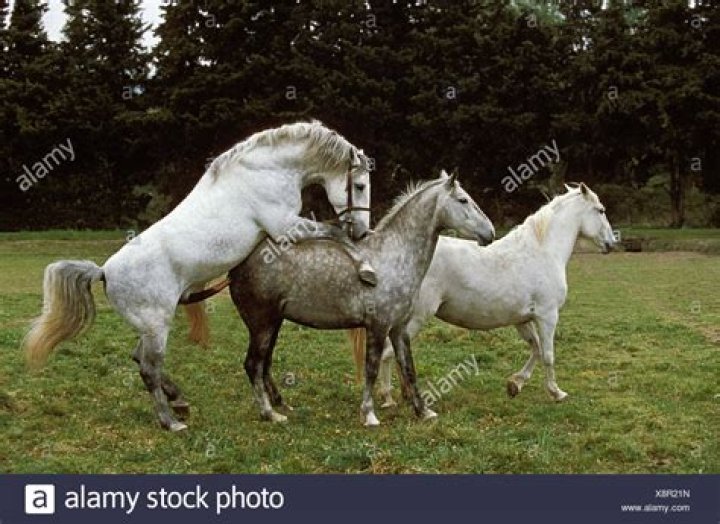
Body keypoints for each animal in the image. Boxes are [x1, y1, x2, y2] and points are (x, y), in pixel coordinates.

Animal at [22, 120, 374, 431]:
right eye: (359, 186)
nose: (362, 230)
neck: (266, 171)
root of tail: (105, 272)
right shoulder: (286, 226)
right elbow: (334, 233)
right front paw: (366, 268)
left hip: (150, 325)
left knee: (139, 358)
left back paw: (179, 401)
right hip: (157, 324)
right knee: (149, 369)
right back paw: (171, 421)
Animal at [224, 171, 495, 426]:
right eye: (463, 200)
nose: (489, 233)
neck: (393, 256)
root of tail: (238, 265)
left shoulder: (399, 328)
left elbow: (408, 367)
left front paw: (423, 411)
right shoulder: (378, 326)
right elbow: (371, 369)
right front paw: (369, 415)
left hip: (273, 324)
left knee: (264, 364)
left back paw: (281, 405)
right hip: (262, 325)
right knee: (253, 365)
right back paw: (270, 414)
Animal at [349, 183, 616, 407]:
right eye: (601, 210)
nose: (611, 244)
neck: (542, 251)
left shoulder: (523, 320)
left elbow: (536, 349)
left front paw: (515, 384)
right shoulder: (547, 316)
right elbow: (548, 355)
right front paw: (556, 392)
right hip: (413, 319)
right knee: (387, 354)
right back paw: (389, 397)